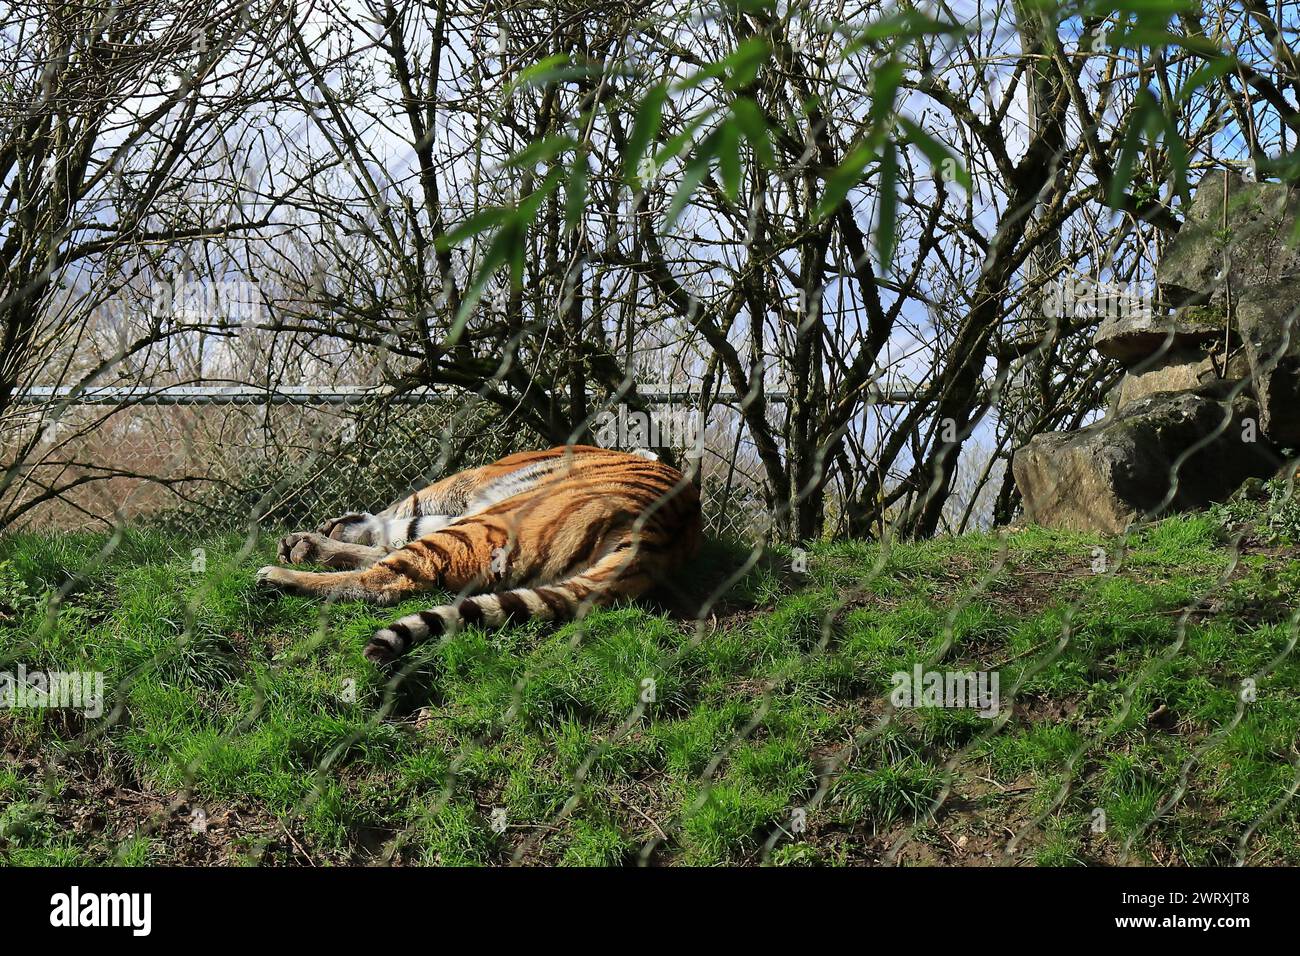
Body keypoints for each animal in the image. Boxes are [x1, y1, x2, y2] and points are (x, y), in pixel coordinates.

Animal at [254, 444, 702, 660]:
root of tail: (658, 536)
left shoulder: (467, 482)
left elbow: (400, 512)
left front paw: (315, 540)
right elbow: (395, 531)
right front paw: (308, 543)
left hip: (494, 520)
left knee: (390, 579)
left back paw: (280, 579)